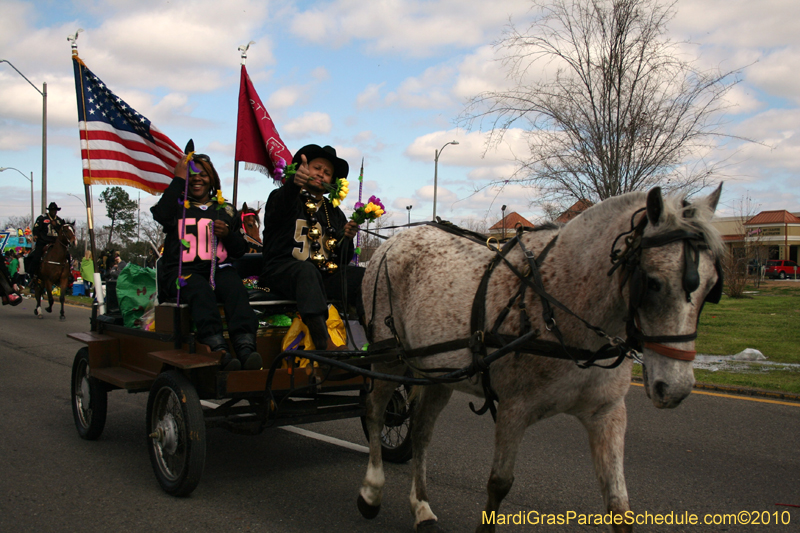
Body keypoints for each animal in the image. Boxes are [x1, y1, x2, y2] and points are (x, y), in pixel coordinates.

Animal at [356, 185, 724, 528]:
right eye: (652, 282)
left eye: (711, 288)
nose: (676, 388)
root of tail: (390, 243)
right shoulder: (513, 409)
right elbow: (499, 484)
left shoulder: (606, 412)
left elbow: (618, 503)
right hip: (389, 356)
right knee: (375, 411)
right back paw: (371, 491)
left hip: (438, 372)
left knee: (421, 432)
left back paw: (421, 506)